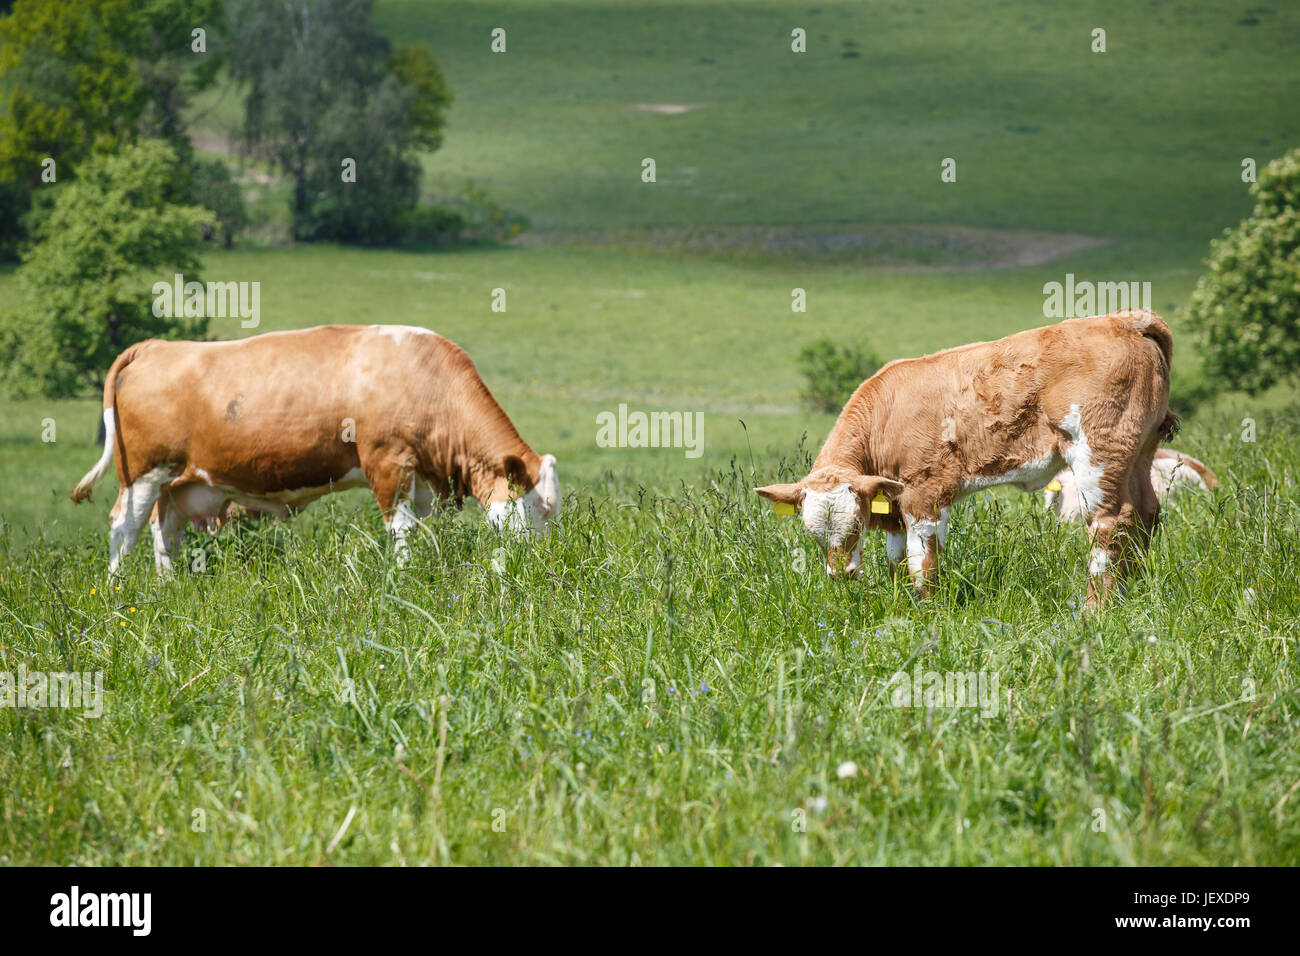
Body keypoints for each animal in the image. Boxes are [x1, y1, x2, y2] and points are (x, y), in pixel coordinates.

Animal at [70, 324, 561, 575]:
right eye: (538, 508)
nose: (542, 562)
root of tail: (154, 346)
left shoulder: (422, 477)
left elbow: (422, 529)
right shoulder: (387, 462)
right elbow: (401, 529)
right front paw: (404, 578)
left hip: (179, 483)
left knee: (164, 533)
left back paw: (168, 586)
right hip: (144, 473)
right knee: (124, 528)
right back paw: (120, 593)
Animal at [755, 310, 1174, 607]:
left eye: (856, 525)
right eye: (810, 533)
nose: (841, 575)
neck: (885, 416)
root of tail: (1125, 319)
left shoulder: (924, 495)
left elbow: (923, 562)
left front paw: (927, 612)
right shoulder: (893, 508)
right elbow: (895, 561)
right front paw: (897, 607)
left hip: (1098, 452)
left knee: (1110, 523)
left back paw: (1095, 609)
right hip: (1140, 450)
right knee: (1145, 514)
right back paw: (1131, 592)